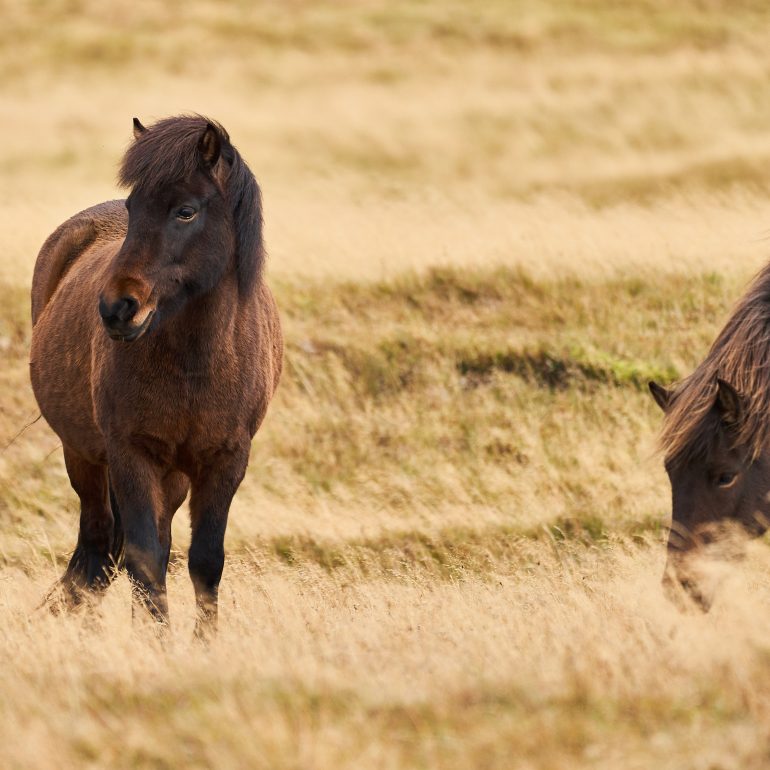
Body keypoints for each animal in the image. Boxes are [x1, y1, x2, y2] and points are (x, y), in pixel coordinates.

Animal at [29, 115, 283, 635]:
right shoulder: (131, 454)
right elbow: (144, 560)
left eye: (185, 211)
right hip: (83, 456)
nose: (116, 308)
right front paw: (156, 642)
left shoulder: (226, 461)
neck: (195, 364)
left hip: (173, 477)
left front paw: (204, 643)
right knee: (98, 544)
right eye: (133, 207)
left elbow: (204, 561)